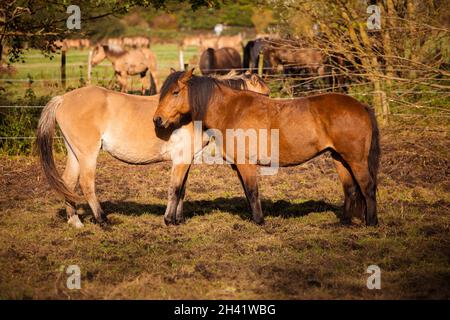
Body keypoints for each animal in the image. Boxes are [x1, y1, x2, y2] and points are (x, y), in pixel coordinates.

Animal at [37, 71, 268, 229]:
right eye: (265, 95)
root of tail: (62, 99)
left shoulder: (186, 160)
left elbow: (182, 189)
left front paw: (179, 219)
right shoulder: (181, 160)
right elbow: (174, 189)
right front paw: (169, 220)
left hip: (75, 153)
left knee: (67, 183)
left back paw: (75, 221)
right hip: (87, 154)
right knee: (86, 184)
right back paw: (103, 219)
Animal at [154, 69, 380, 226]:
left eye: (175, 92)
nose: (157, 119)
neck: (231, 111)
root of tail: (361, 106)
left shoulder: (246, 164)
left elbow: (253, 192)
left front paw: (259, 221)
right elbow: (248, 193)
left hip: (356, 159)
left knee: (367, 187)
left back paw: (371, 222)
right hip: (339, 158)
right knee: (350, 189)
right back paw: (344, 222)